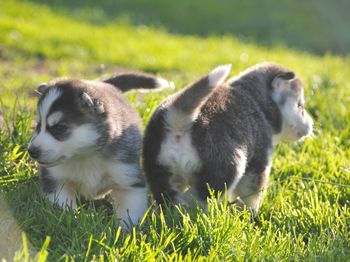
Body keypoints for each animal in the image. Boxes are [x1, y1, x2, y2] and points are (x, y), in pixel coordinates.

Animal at [27, 71, 171, 225]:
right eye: (38, 126)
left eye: (59, 128)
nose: (32, 151)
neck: (86, 156)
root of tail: (105, 84)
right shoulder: (56, 179)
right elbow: (62, 203)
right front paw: (69, 219)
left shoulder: (128, 177)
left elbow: (130, 212)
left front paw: (126, 229)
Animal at [142, 63, 314, 213]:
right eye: (300, 106)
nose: (312, 124)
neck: (256, 101)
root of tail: (178, 120)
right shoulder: (258, 164)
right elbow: (252, 196)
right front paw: (250, 214)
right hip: (229, 168)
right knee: (195, 198)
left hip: (160, 173)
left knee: (171, 199)